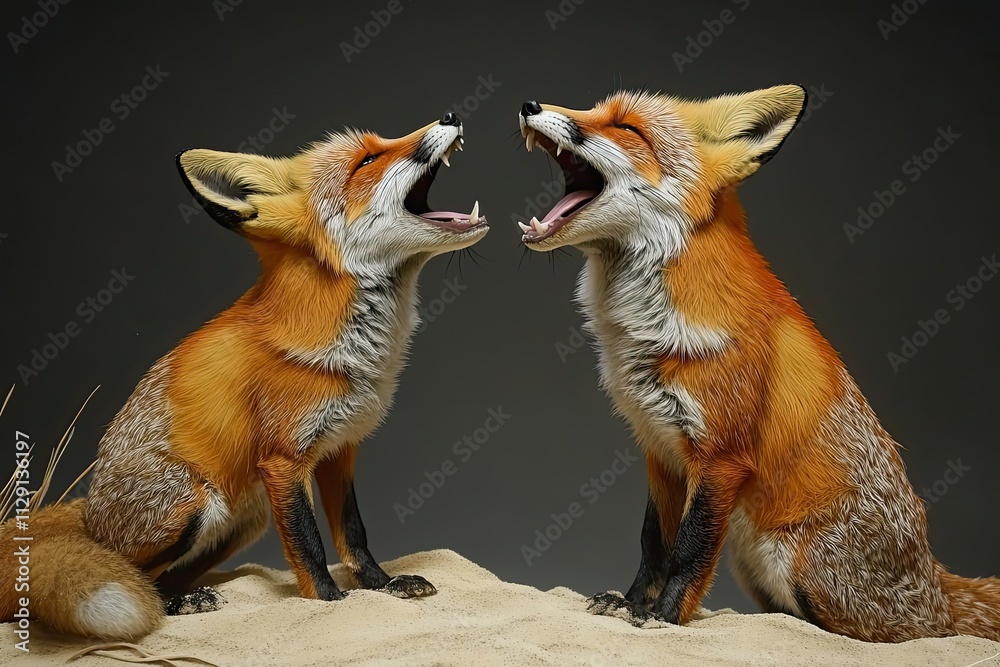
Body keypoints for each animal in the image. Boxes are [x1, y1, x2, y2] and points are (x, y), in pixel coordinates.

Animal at [1, 111, 488, 640]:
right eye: (368, 160)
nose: (451, 115)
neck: (360, 348)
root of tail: (88, 517)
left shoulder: (339, 450)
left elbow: (353, 535)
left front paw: (382, 587)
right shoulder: (284, 460)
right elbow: (310, 547)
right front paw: (331, 605)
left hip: (244, 518)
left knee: (164, 576)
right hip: (195, 505)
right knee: (134, 574)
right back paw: (179, 604)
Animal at [515, 87, 1000, 643]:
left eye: (627, 128)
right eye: (597, 110)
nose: (529, 105)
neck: (643, 329)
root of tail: (937, 583)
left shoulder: (720, 459)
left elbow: (690, 550)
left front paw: (664, 618)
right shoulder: (660, 448)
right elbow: (653, 543)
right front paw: (632, 604)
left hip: (796, 563)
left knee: (881, 635)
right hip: (752, 560)